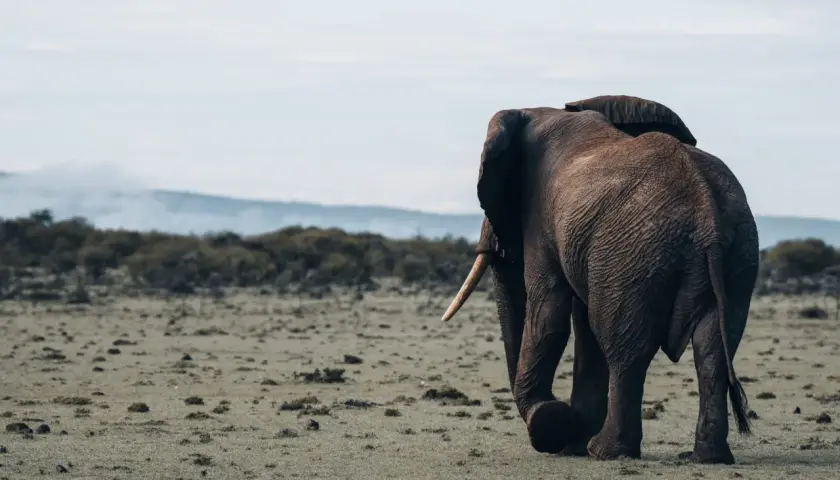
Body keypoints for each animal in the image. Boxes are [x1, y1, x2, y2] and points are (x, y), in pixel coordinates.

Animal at [440, 95, 758, 464]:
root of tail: (708, 212)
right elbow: (583, 326)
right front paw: (569, 441)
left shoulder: (542, 221)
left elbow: (549, 315)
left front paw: (552, 424)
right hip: (736, 255)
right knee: (713, 350)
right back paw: (708, 457)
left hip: (636, 253)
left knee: (624, 348)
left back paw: (606, 451)